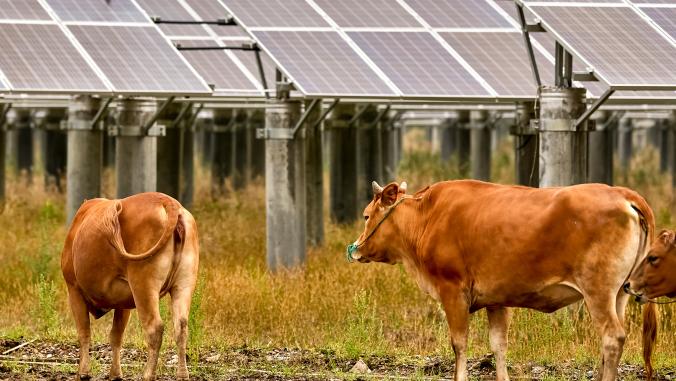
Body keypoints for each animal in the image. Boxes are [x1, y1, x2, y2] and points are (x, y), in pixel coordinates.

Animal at [61, 193, 199, 380]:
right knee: (181, 326)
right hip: (184, 284)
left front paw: (83, 373)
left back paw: (148, 375)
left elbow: (84, 332)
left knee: (155, 327)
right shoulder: (124, 302)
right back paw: (183, 375)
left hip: (143, 285)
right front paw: (115, 373)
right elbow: (116, 335)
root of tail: (168, 201)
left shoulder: (74, 289)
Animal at [348, 180, 656, 380]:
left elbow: (459, 343)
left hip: (598, 291)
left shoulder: (453, 291)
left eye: (365, 215)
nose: (356, 248)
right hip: (619, 294)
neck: (427, 217)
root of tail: (621, 192)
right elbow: (499, 345)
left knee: (612, 337)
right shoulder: (497, 300)